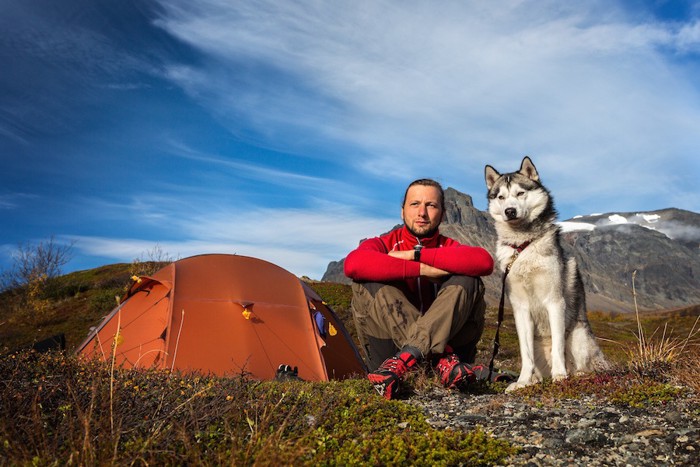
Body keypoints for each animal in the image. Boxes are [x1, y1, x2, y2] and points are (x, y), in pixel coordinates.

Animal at [486, 156, 608, 392]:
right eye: (501, 197)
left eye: (520, 193)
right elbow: (526, 355)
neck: (523, 245)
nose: (510, 211)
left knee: (583, 364)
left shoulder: (554, 301)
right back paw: (534, 379)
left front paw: (560, 376)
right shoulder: (520, 308)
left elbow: (558, 347)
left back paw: (577, 374)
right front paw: (522, 381)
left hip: (578, 336)